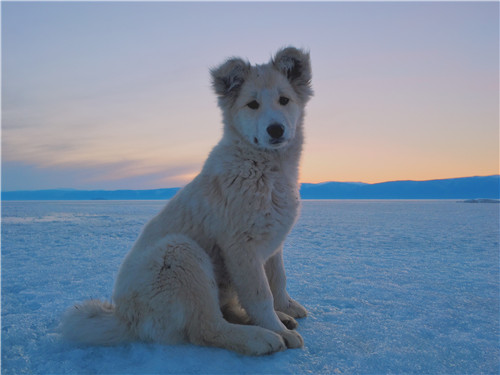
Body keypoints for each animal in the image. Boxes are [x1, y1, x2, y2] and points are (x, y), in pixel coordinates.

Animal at [60, 47, 312, 356]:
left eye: (284, 100)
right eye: (252, 104)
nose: (275, 130)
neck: (264, 168)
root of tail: (124, 318)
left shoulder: (273, 243)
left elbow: (278, 280)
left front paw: (286, 308)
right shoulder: (241, 246)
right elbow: (259, 295)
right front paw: (278, 329)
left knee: (224, 312)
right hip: (180, 254)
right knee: (208, 327)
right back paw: (260, 337)